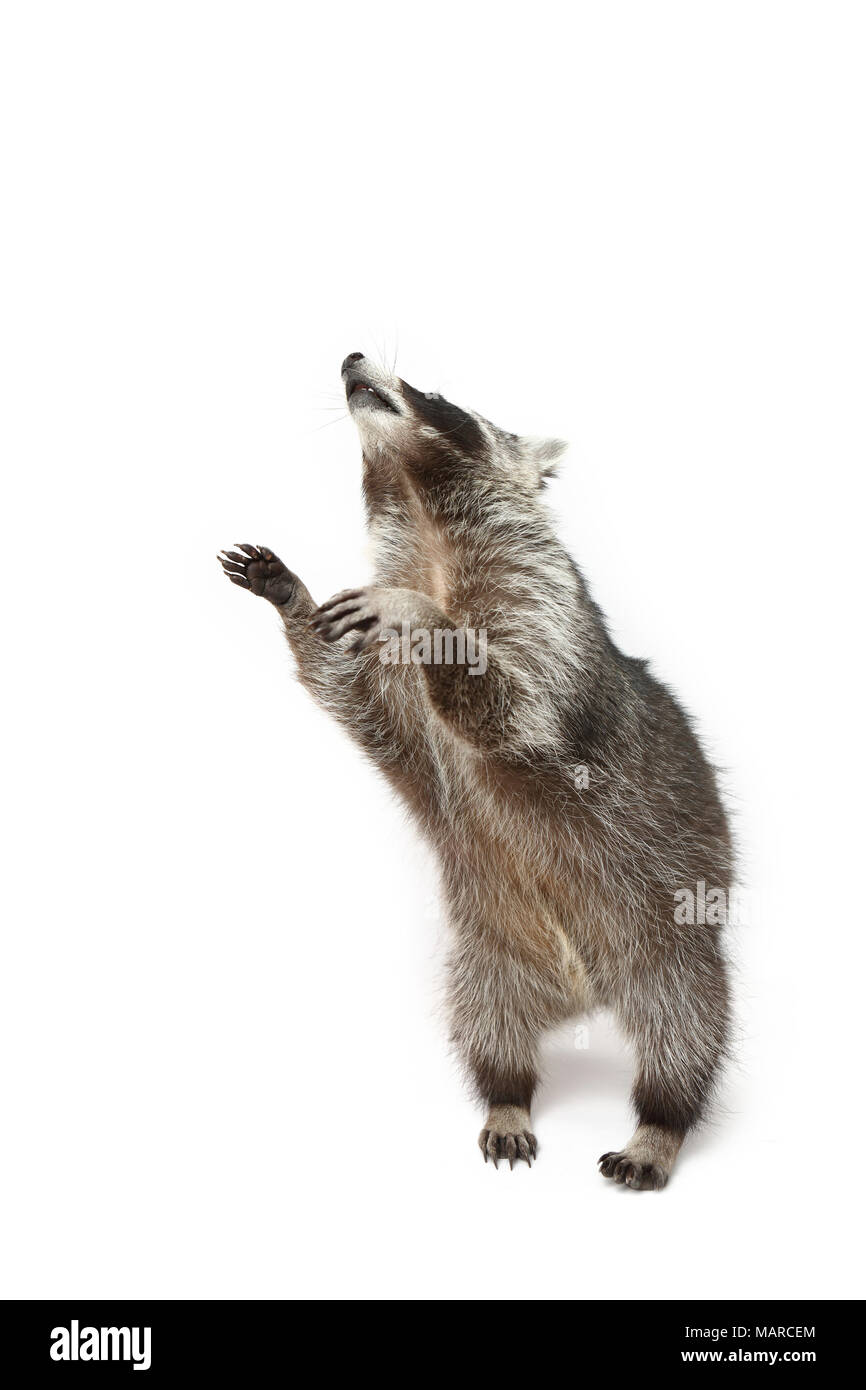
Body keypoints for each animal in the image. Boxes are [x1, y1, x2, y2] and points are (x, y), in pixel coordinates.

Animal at [219, 353, 733, 1189]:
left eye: (436, 392)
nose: (352, 356)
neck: (424, 522)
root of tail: (581, 997)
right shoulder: (403, 714)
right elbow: (356, 700)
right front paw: (290, 597)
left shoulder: (546, 613)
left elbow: (522, 711)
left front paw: (430, 622)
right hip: (485, 957)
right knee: (486, 1027)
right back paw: (507, 1096)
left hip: (665, 938)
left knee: (684, 1028)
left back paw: (660, 1122)